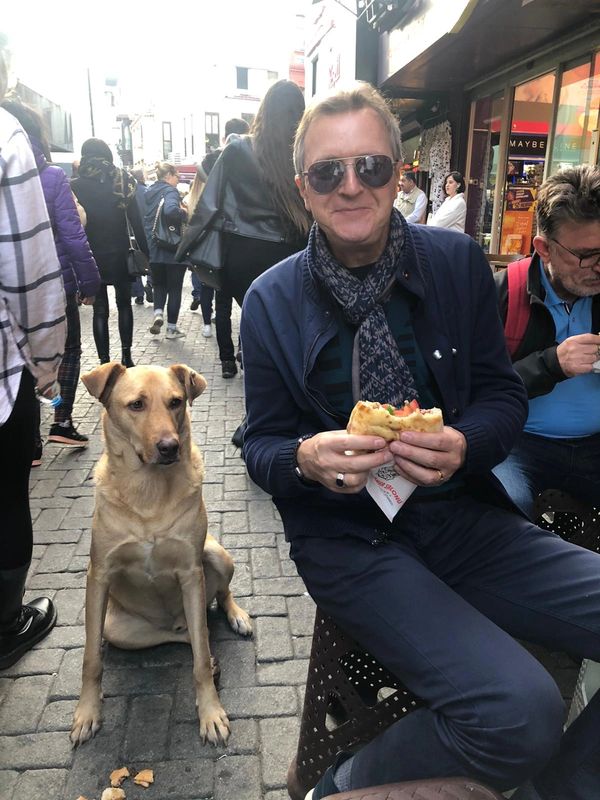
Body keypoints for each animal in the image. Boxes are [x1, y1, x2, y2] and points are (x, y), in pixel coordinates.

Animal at [71, 366, 252, 748]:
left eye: (176, 402)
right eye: (136, 404)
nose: (170, 447)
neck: (148, 492)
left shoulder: (191, 573)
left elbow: (198, 664)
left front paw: (210, 714)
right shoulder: (99, 575)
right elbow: (91, 659)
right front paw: (87, 712)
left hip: (215, 555)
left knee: (211, 615)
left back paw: (236, 618)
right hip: (119, 628)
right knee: (185, 635)